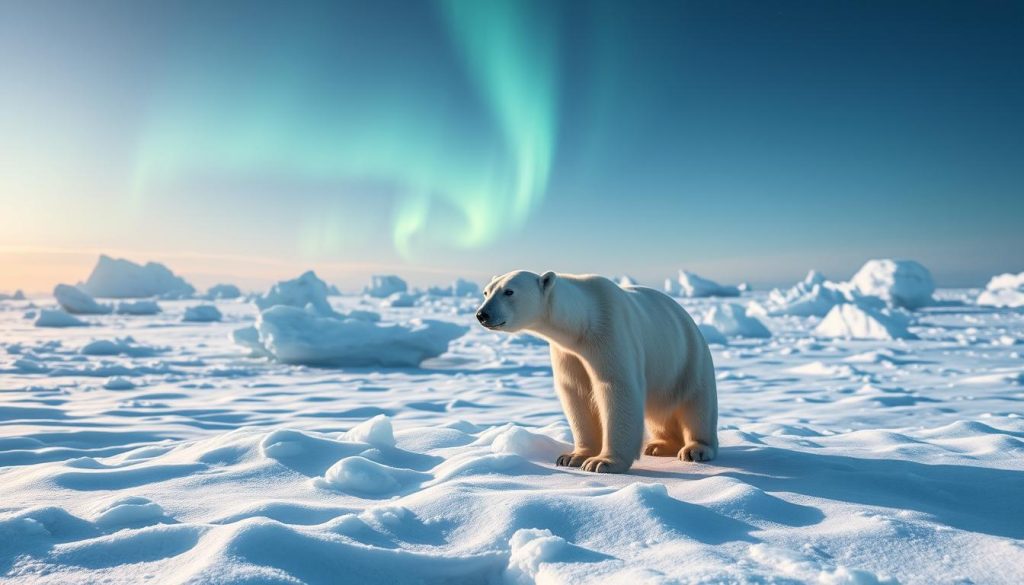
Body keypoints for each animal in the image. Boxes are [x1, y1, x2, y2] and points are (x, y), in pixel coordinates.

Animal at [475, 272, 716, 473]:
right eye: (486, 291)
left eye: (509, 291)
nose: (482, 314)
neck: (584, 319)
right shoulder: (568, 353)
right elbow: (576, 393)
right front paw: (572, 457)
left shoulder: (610, 334)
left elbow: (617, 387)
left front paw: (604, 462)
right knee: (659, 412)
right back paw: (658, 446)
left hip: (689, 359)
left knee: (697, 403)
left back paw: (695, 449)